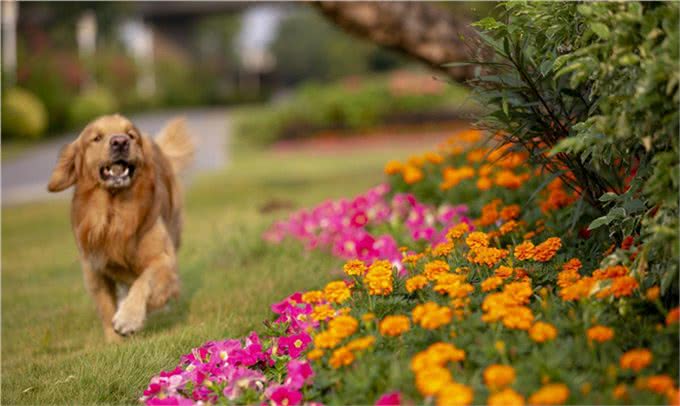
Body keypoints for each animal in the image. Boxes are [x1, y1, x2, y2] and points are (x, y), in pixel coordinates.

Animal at [47, 114, 194, 342]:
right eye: (96, 138)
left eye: (131, 135)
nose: (120, 142)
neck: (115, 213)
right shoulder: (94, 271)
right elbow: (106, 307)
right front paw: (114, 341)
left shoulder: (163, 258)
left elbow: (146, 282)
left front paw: (128, 318)